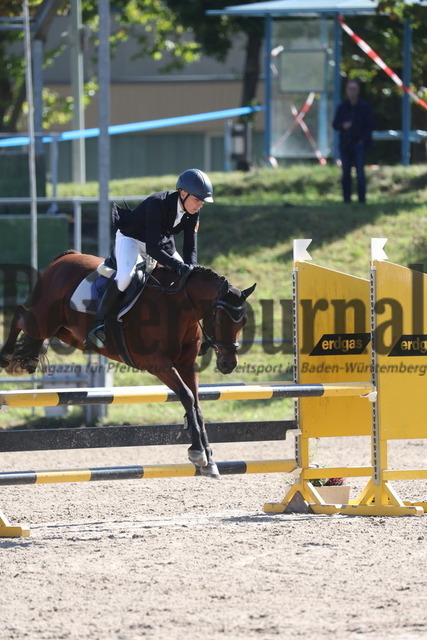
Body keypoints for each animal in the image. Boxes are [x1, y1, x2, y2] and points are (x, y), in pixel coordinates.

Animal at [0, 252, 256, 478]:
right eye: (220, 318)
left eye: (243, 321)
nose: (228, 363)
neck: (179, 307)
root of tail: (64, 258)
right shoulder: (158, 364)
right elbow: (186, 396)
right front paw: (198, 453)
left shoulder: (186, 365)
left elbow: (196, 405)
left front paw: (209, 460)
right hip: (42, 320)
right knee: (20, 315)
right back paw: (6, 357)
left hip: (66, 331)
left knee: (37, 333)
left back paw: (27, 359)